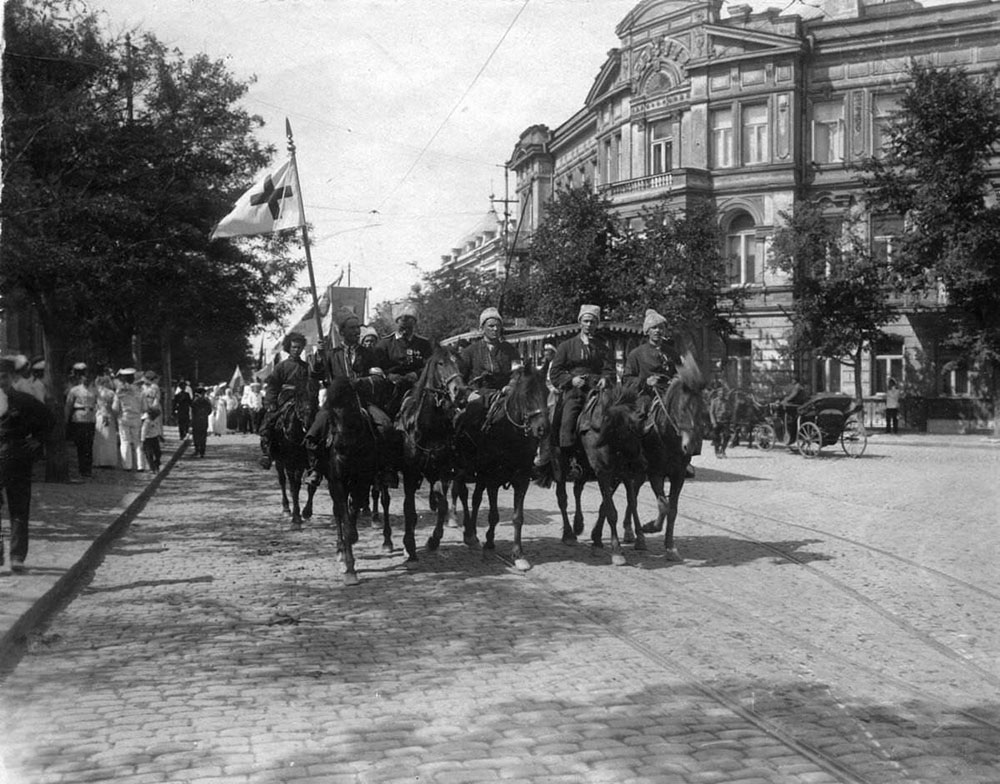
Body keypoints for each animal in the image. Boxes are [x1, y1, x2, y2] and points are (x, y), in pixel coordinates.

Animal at [272, 396, 318, 528]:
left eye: (315, 396)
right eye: (300, 398)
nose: (308, 423)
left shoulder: (312, 463)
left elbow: (311, 486)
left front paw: (307, 511)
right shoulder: (291, 464)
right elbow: (294, 487)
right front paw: (296, 516)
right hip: (280, 462)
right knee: (282, 481)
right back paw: (286, 508)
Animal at [392, 350, 466, 564]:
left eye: (459, 362)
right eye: (440, 363)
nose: (459, 390)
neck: (429, 428)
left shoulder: (443, 471)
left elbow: (442, 505)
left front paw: (433, 540)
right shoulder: (410, 474)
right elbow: (409, 508)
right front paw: (409, 545)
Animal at [456, 364, 552, 572]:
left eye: (547, 392)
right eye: (526, 393)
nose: (543, 429)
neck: (511, 433)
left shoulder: (521, 479)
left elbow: (518, 517)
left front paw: (518, 554)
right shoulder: (493, 478)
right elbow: (493, 515)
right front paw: (490, 545)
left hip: (480, 475)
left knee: (476, 499)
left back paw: (474, 535)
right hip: (463, 470)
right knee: (463, 495)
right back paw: (469, 534)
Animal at [636, 352, 708, 560]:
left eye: (702, 409)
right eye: (682, 408)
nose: (690, 446)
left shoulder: (678, 475)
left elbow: (673, 510)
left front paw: (670, 547)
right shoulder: (655, 473)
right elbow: (664, 506)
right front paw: (651, 527)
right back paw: (638, 536)